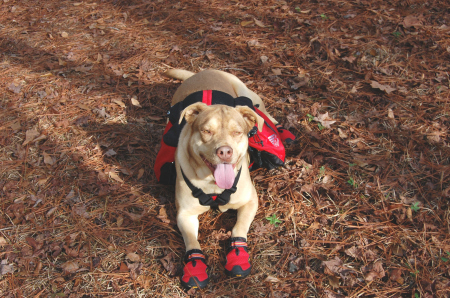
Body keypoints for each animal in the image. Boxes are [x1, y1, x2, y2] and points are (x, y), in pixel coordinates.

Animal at [163, 69, 276, 288]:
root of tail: (202, 71)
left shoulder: (250, 201)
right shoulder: (185, 214)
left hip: (248, 94)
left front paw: (238, 255)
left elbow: (239, 227)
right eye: (206, 131)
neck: (213, 186)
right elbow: (192, 241)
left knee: (263, 113)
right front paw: (195, 266)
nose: (224, 151)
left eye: (237, 132)